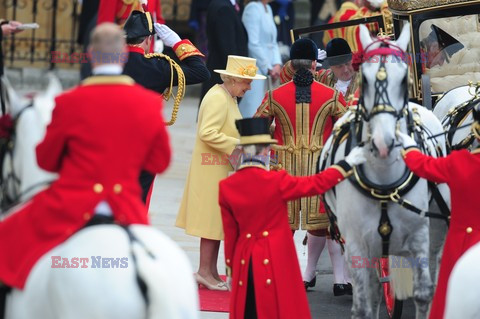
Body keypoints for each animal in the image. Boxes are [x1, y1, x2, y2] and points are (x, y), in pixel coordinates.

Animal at [322, 23, 450, 318]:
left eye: (403, 79)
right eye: (365, 80)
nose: (383, 142)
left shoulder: (420, 234)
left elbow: (424, 293)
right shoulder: (357, 244)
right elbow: (365, 303)